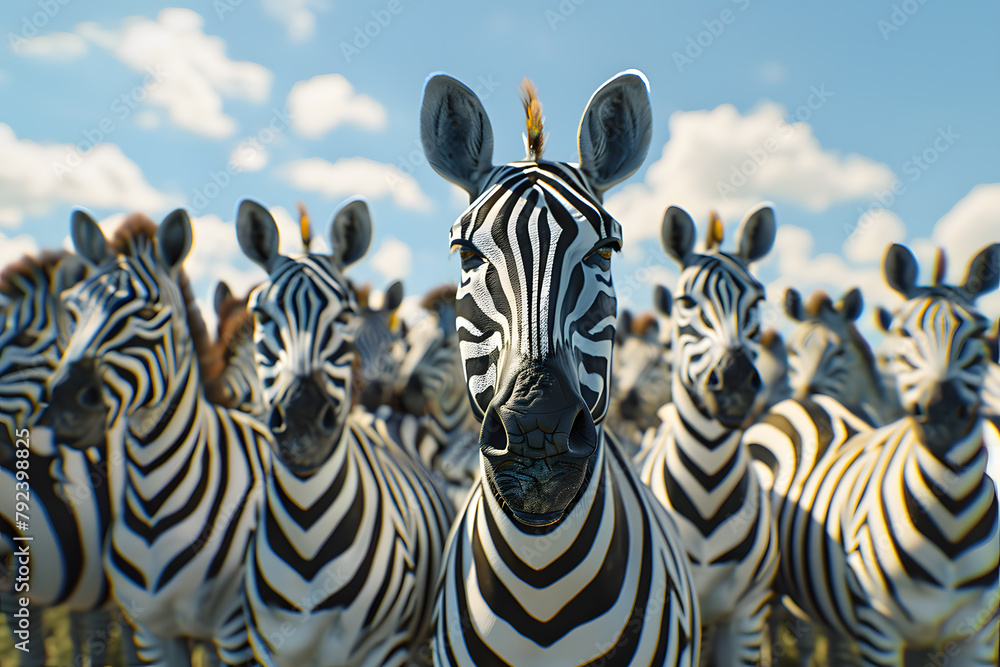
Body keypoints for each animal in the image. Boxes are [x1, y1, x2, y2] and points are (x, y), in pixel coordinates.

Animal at [39, 210, 270, 666]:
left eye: (148, 311)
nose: (67, 404)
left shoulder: (236, 631)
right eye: (72, 310)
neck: (153, 495)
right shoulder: (152, 633)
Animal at [234, 197, 453, 667]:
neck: (307, 524)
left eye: (345, 316)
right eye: (261, 315)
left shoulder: (385, 648)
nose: (302, 419)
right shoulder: (269, 648)